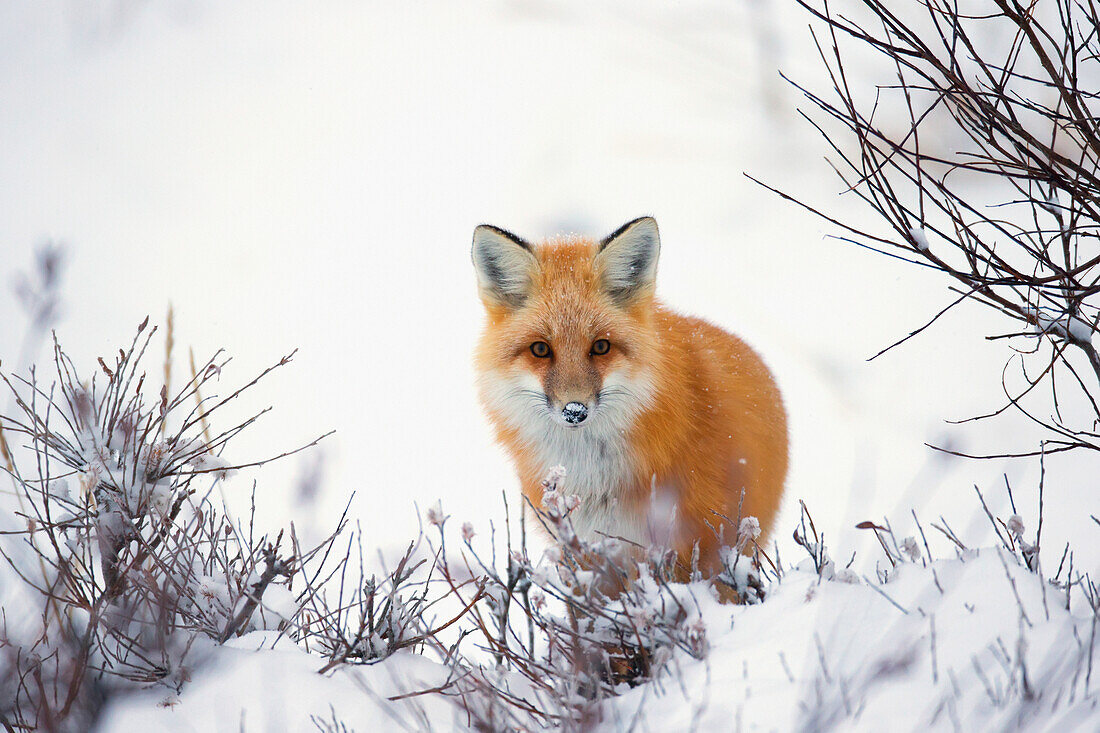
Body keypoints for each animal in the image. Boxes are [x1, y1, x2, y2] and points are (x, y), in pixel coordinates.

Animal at [468, 215, 787, 581]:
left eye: (601, 346)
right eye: (540, 350)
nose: (575, 410)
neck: (595, 479)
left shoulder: (690, 544)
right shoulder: (585, 549)